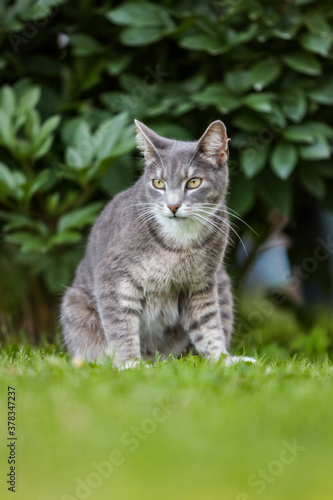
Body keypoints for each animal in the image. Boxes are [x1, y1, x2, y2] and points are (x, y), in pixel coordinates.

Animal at [60, 118, 254, 368]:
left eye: (193, 182)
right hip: (75, 304)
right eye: (158, 183)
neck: (179, 243)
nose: (172, 206)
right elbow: (120, 326)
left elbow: (209, 324)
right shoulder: (113, 276)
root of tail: (157, 359)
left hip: (222, 282)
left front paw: (222, 360)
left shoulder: (201, 284)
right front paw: (130, 365)